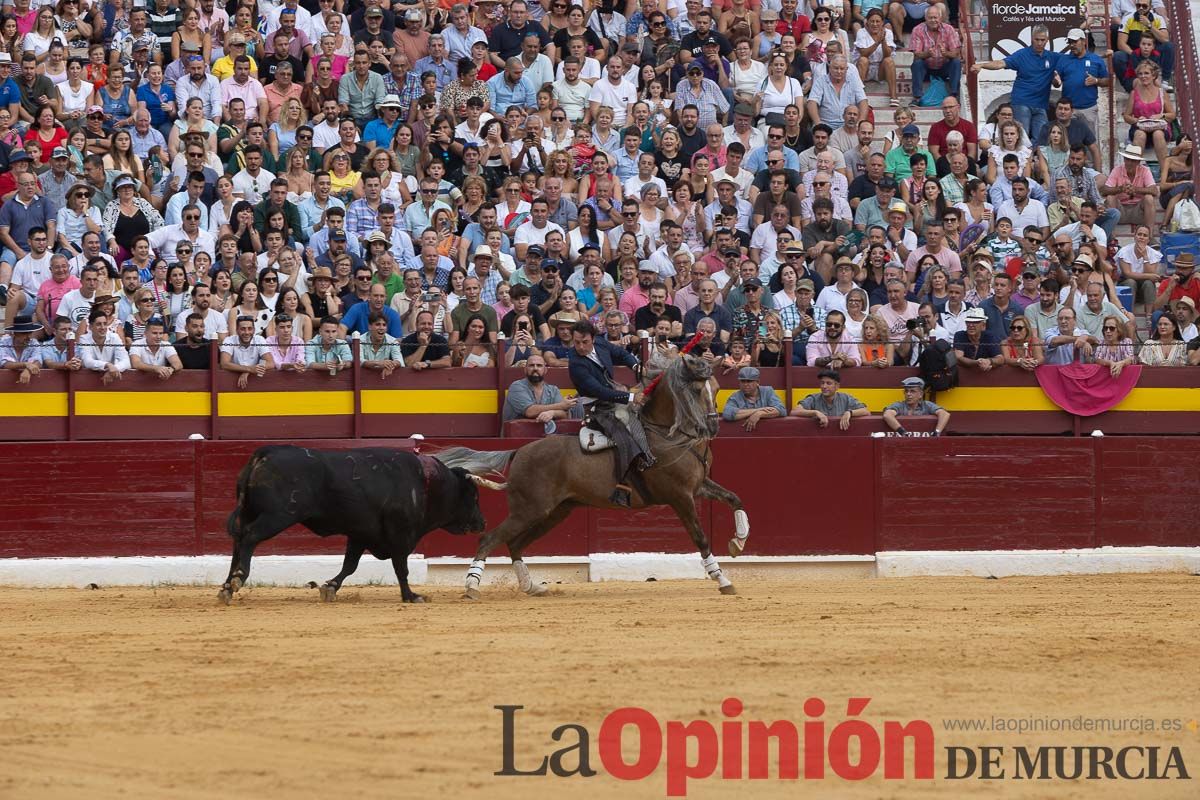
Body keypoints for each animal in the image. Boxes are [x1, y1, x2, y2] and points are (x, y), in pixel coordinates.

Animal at [220, 448, 492, 604]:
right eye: (474, 497)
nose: (482, 522)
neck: (426, 484)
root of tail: (264, 454)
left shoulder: (361, 534)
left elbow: (350, 565)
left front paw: (329, 588)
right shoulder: (400, 535)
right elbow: (401, 568)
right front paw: (411, 596)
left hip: (250, 513)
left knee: (238, 541)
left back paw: (226, 587)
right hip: (277, 516)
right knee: (249, 537)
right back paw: (237, 579)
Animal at [432, 352, 748, 597]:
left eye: (717, 387)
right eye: (695, 390)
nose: (712, 427)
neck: (670, 436)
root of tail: (518, 451)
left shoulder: (699, 486)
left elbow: (735, 499)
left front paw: (738, 542)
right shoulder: (680, 497)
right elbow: (701, 537)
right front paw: (723, 580)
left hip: (555, 512)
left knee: (514, 543)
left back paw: (532, 587)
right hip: (529, 510)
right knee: (490, 539)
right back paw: (471, 587)